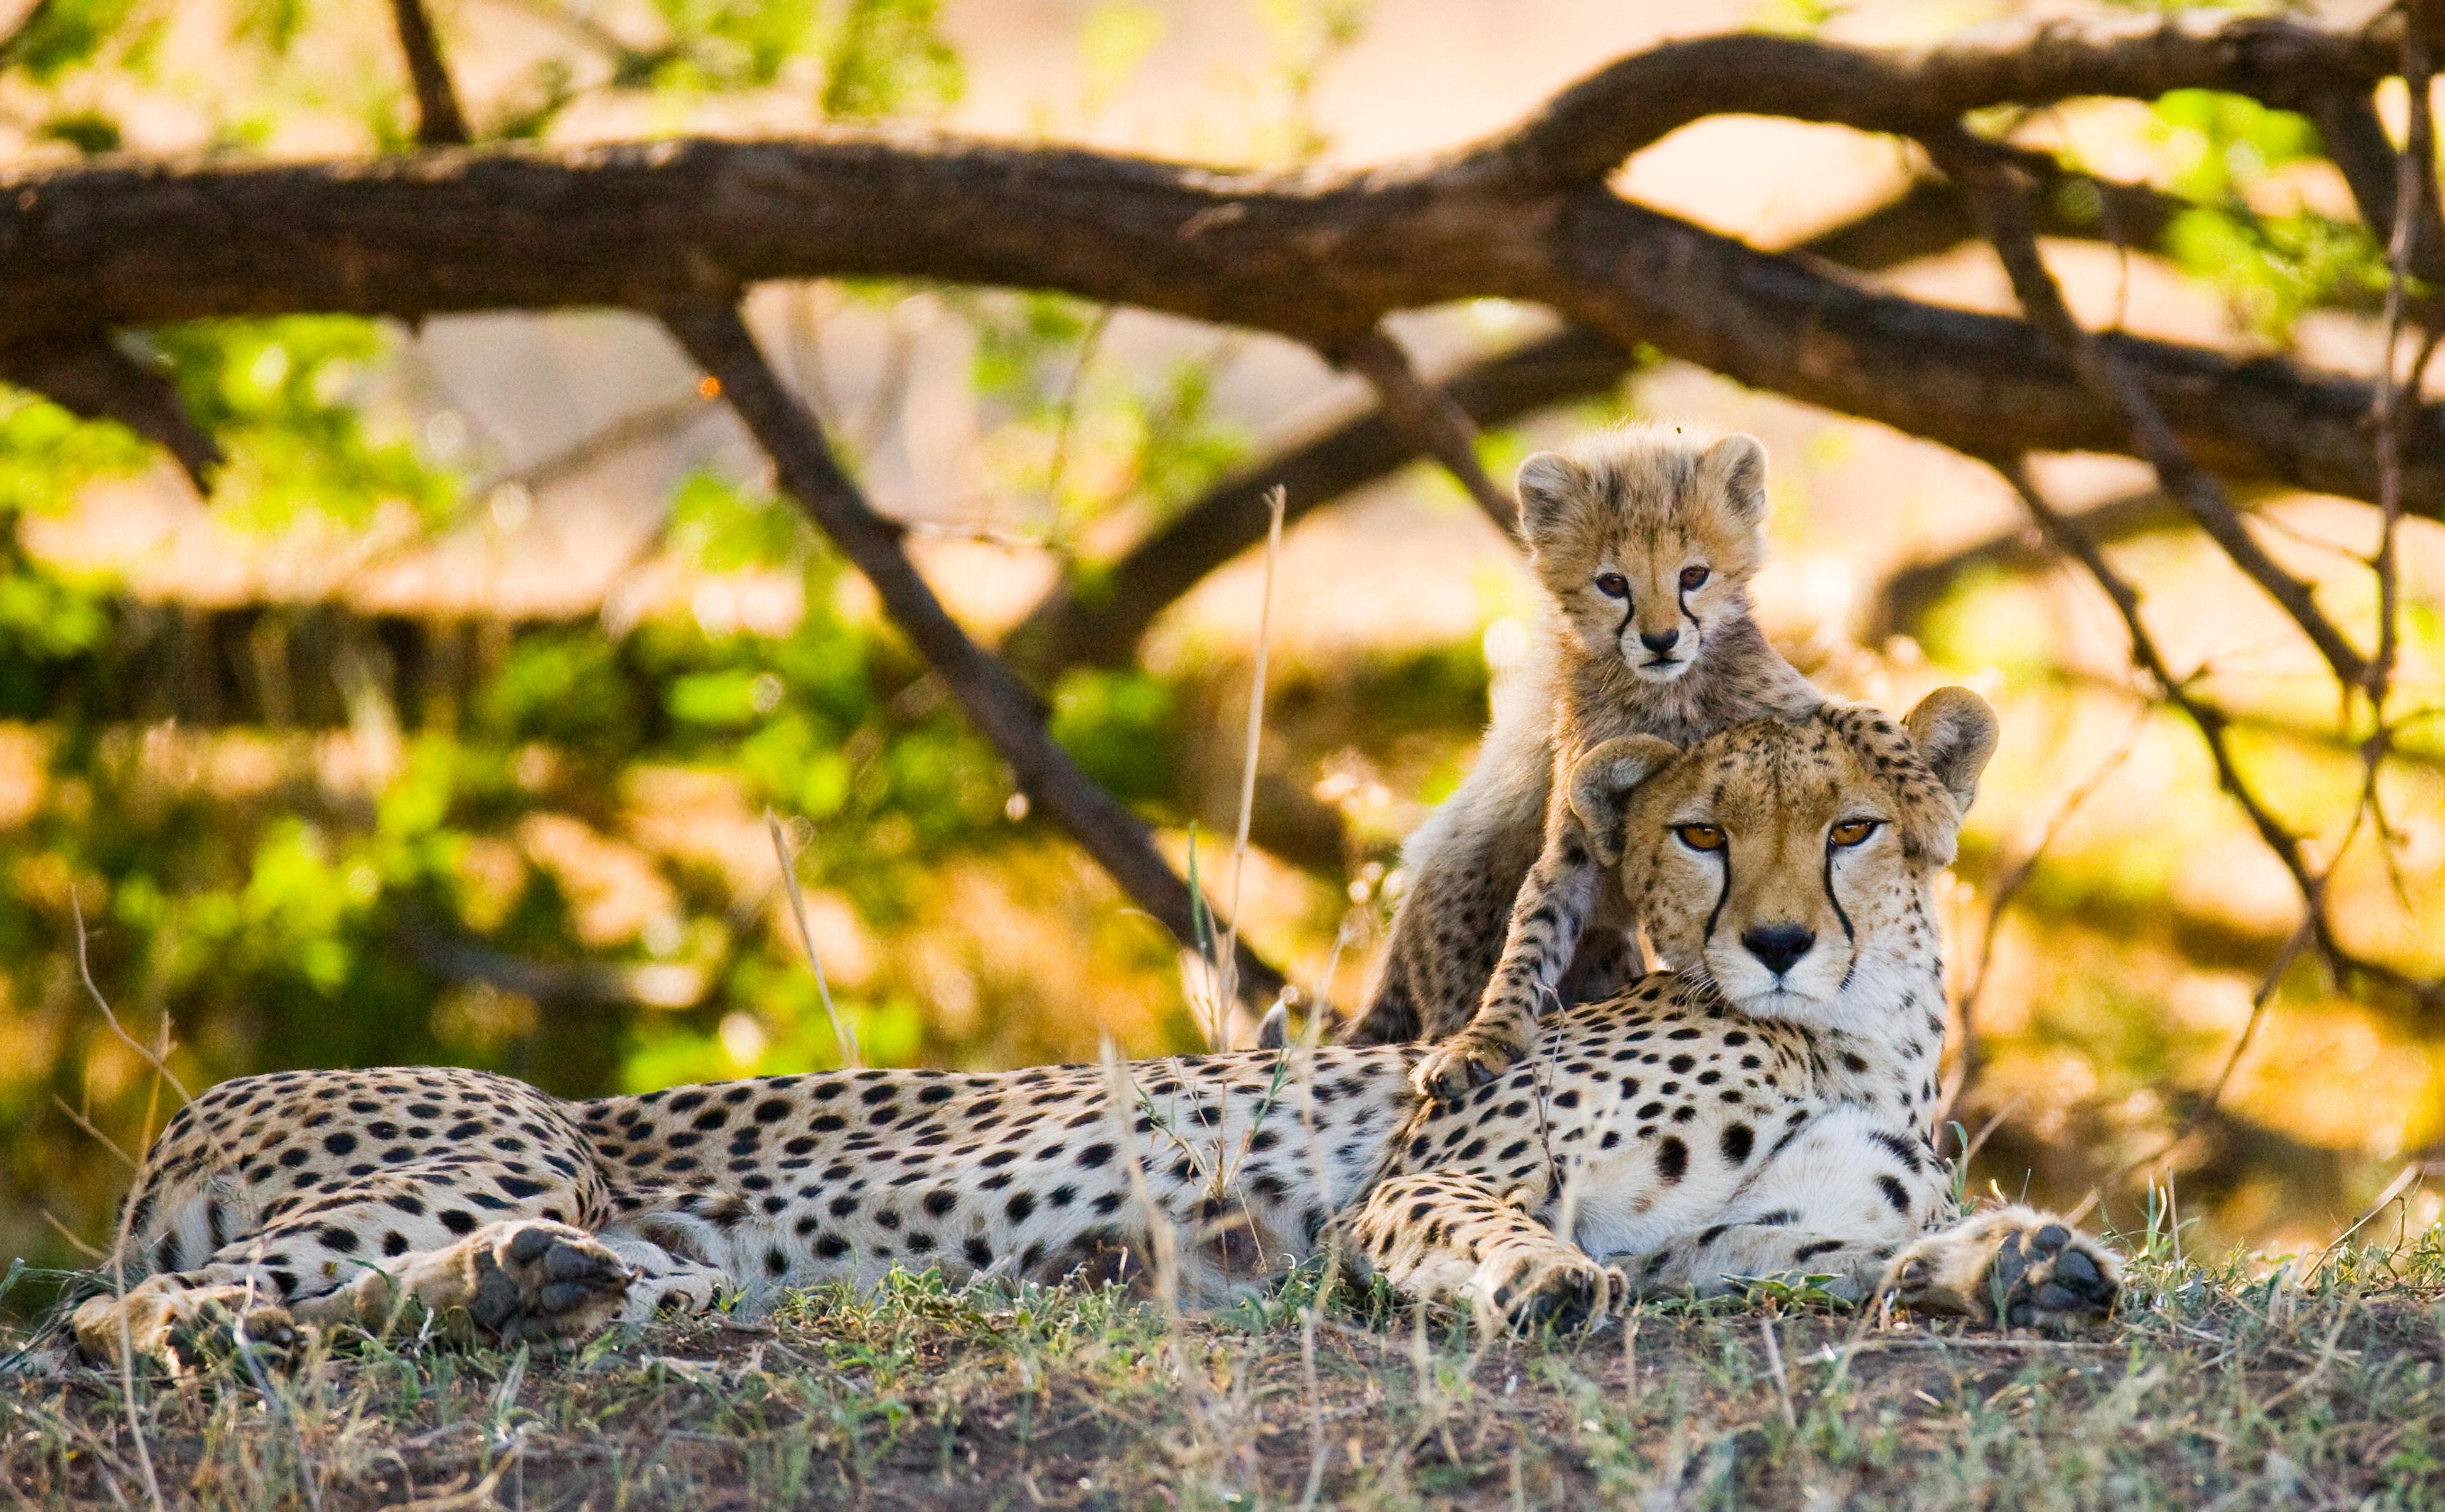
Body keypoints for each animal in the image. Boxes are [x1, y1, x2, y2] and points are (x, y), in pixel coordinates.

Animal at [59, 690, 2116, 1372]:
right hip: (496, 1137)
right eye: (1699, 832)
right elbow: (1483, 1228)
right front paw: (1530, 1283)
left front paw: (2018, 1259)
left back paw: (551, 1290)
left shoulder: (1735, 1244)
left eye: (1846, 828)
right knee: (123, 1315)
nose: (1771, 941)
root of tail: (203, 1099)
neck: (1849, 1040)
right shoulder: (1439, 1168)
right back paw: (408, 1303)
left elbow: (1867, 1258)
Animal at [1337, 423, 1823, 1106]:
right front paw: (1485, 1040)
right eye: (1612, 584)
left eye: (1694, 574)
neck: (1666, 699)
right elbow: (1532, 936)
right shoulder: (1572, 846)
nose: (1661, 640)